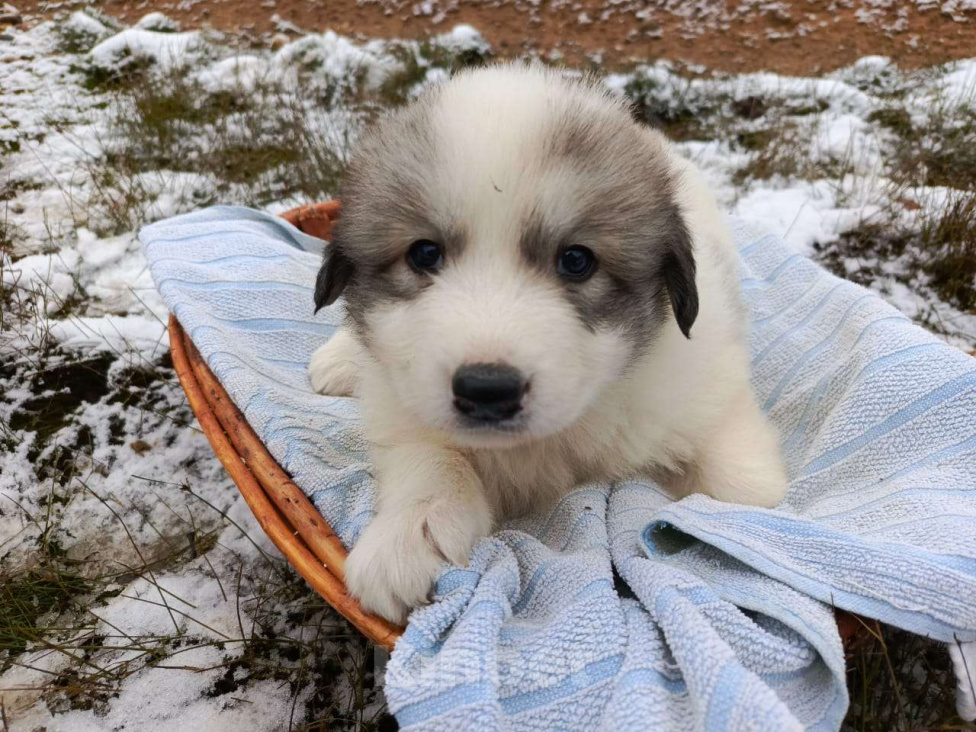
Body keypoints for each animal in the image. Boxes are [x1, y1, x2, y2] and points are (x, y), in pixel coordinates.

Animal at [308, 64, 788, 624]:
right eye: (424, 254)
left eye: (577, 260)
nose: (487, 390)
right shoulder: (402, 405)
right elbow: (429, 456)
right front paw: (411, 533)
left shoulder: (706, 379)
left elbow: (745, 487)